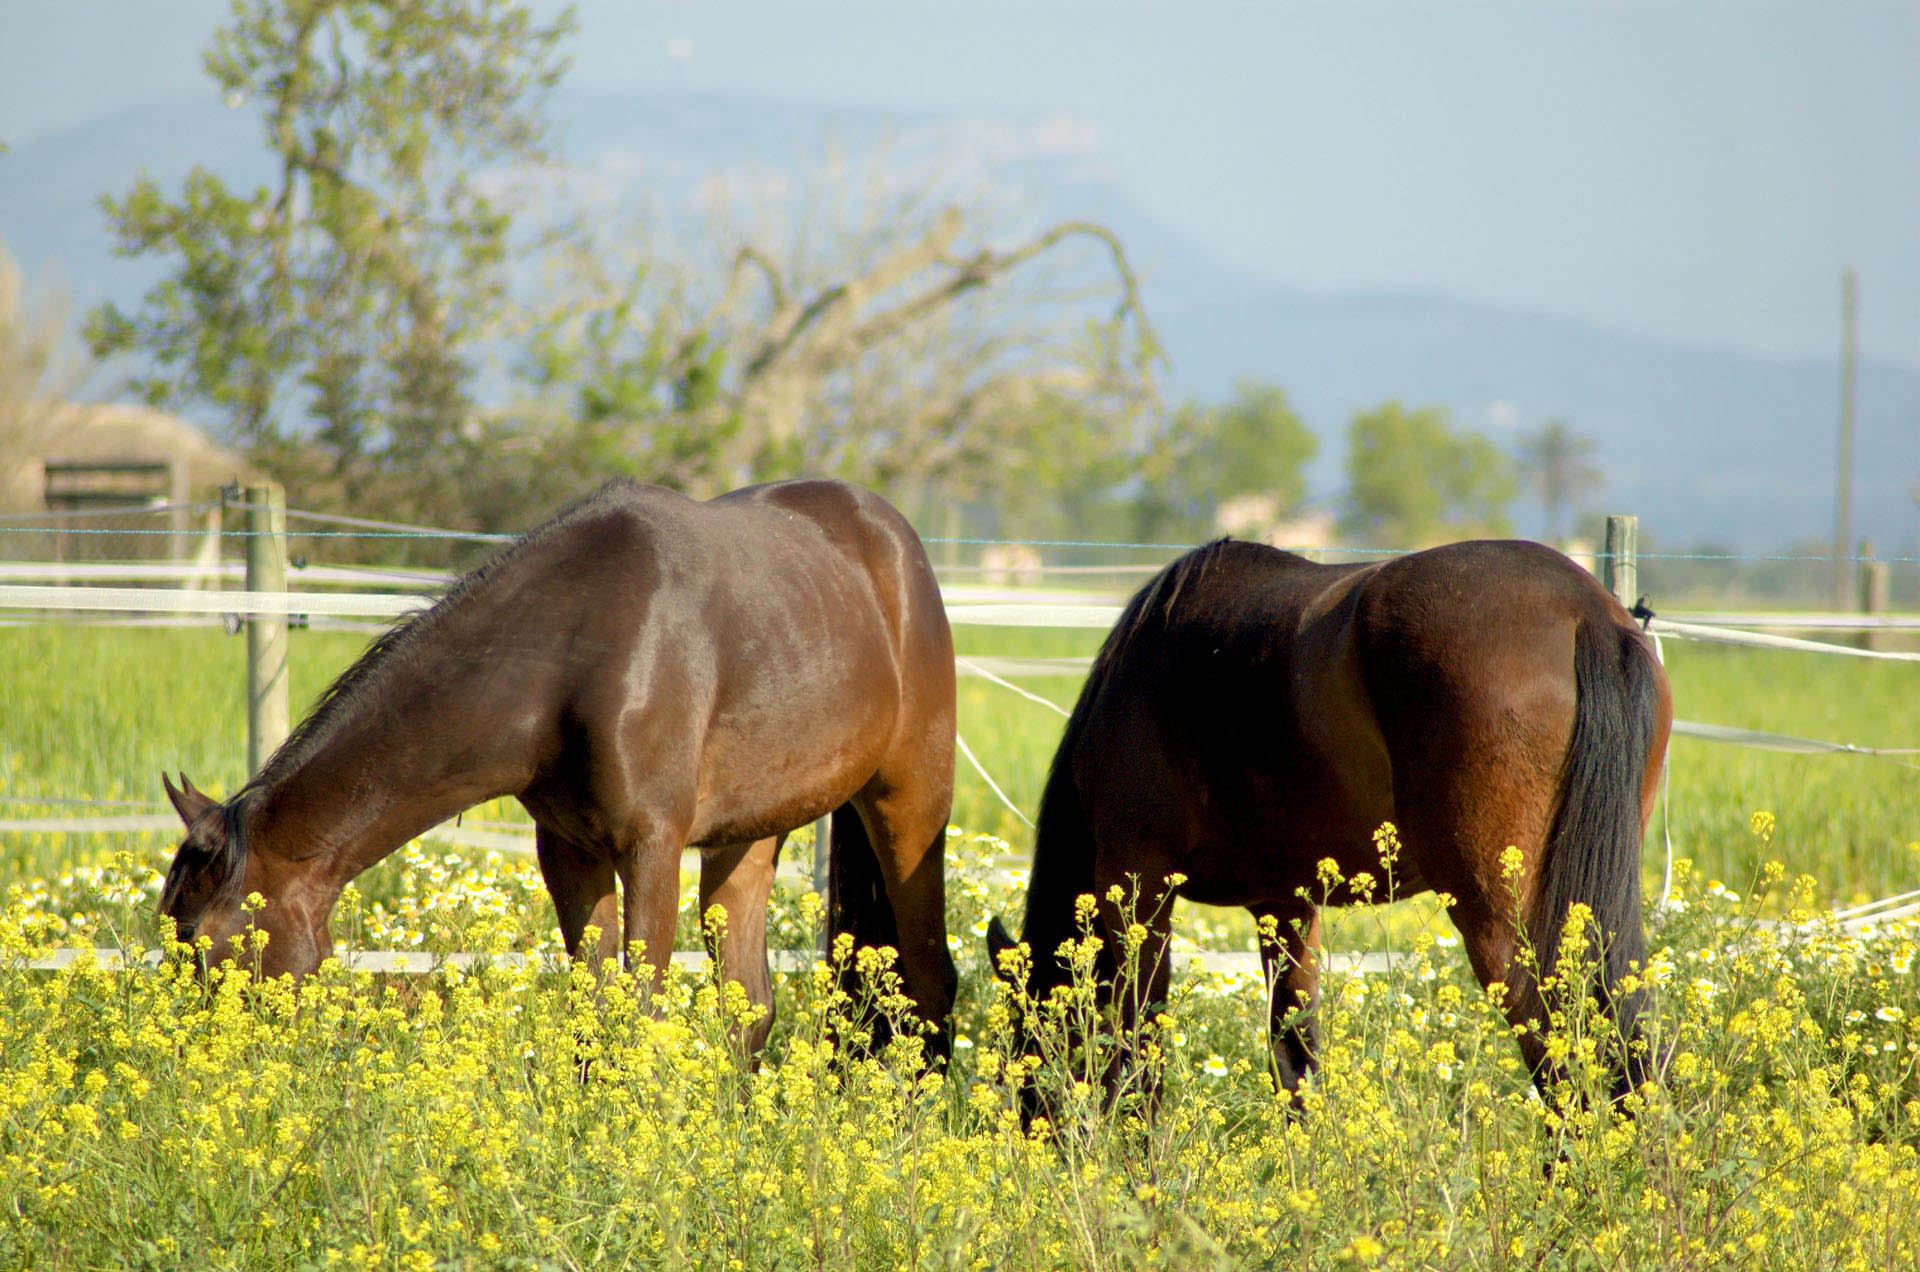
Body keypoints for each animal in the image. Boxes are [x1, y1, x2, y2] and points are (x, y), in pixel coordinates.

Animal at [161, 478, 956, 1052]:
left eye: (203, 942)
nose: (196, 1059)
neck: (571, 654)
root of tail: (894, 539)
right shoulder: (571, 851)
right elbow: (594, 1008)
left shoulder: (651, 847)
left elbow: (640, 1009)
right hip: (749, 836)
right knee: (750, 1007)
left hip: (909, 801)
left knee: (931, 978)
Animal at [990, 538, 1666, 1106]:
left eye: (1025, 1055)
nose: (1034, 1131)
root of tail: (1584, 610)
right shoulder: (1284, 906)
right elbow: (1293, 1054)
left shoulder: (1138, 885)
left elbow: (1141, 1040)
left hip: (1496, 916)